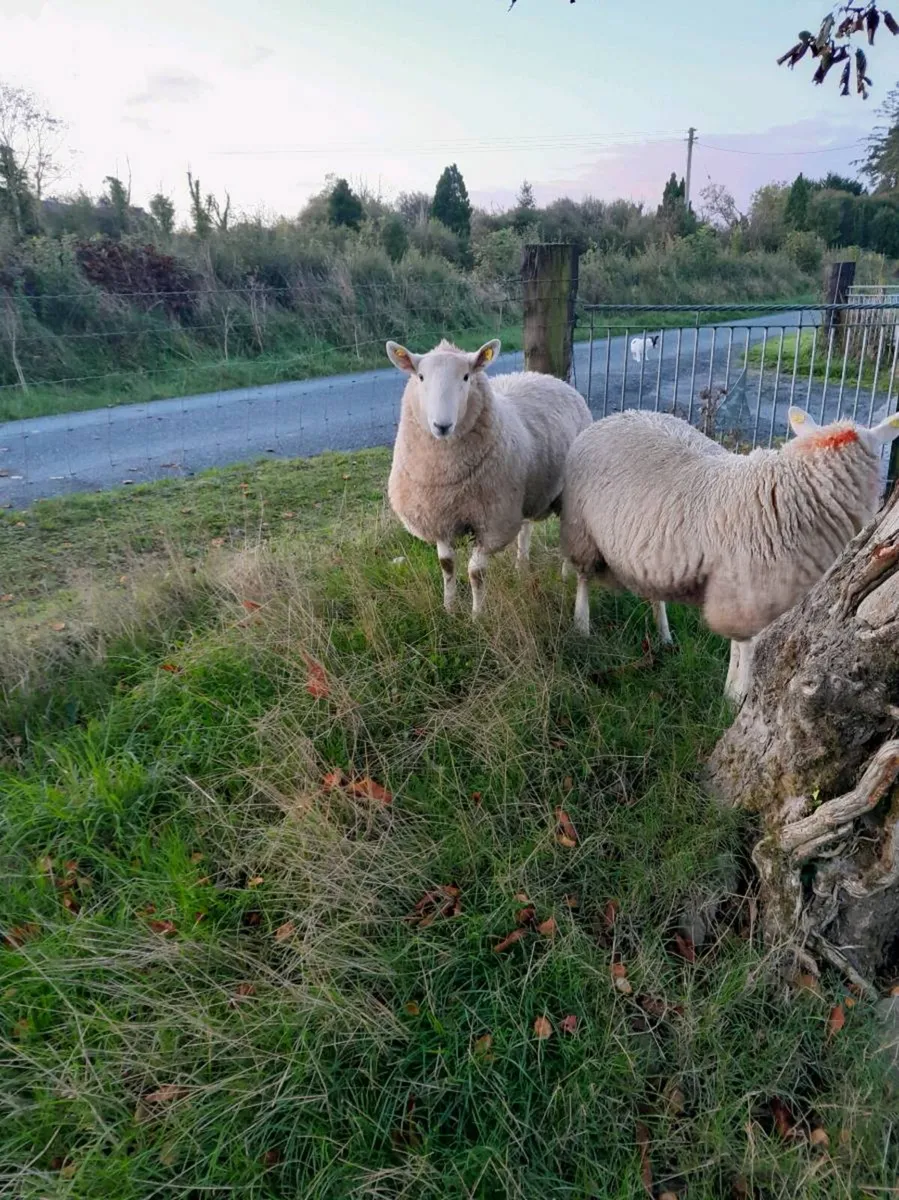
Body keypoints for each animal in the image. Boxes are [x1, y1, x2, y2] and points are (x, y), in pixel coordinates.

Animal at [386, 337, 592, 617]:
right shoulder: (439, 517)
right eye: (420, 376)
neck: (446, 473)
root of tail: (549, 377)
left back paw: (565, 575)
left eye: (466, 376)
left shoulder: (492, 522)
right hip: (522, 496)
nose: (442, 426)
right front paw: (449, 608)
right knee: (525, 529)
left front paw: (477, 616)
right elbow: (447, 565)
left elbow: (476, 573)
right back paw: (521, 567)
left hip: (564, 495)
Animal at [561, 405, 899, 702]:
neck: (792, 490)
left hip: (647, 555)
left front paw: (734, 690)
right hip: (581, 531)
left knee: (654, 594)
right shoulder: (744, 594)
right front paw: (737, 695)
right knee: (583, 579)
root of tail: (617, 415)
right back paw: (581, 625)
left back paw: (664, 636)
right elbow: (746, 645)